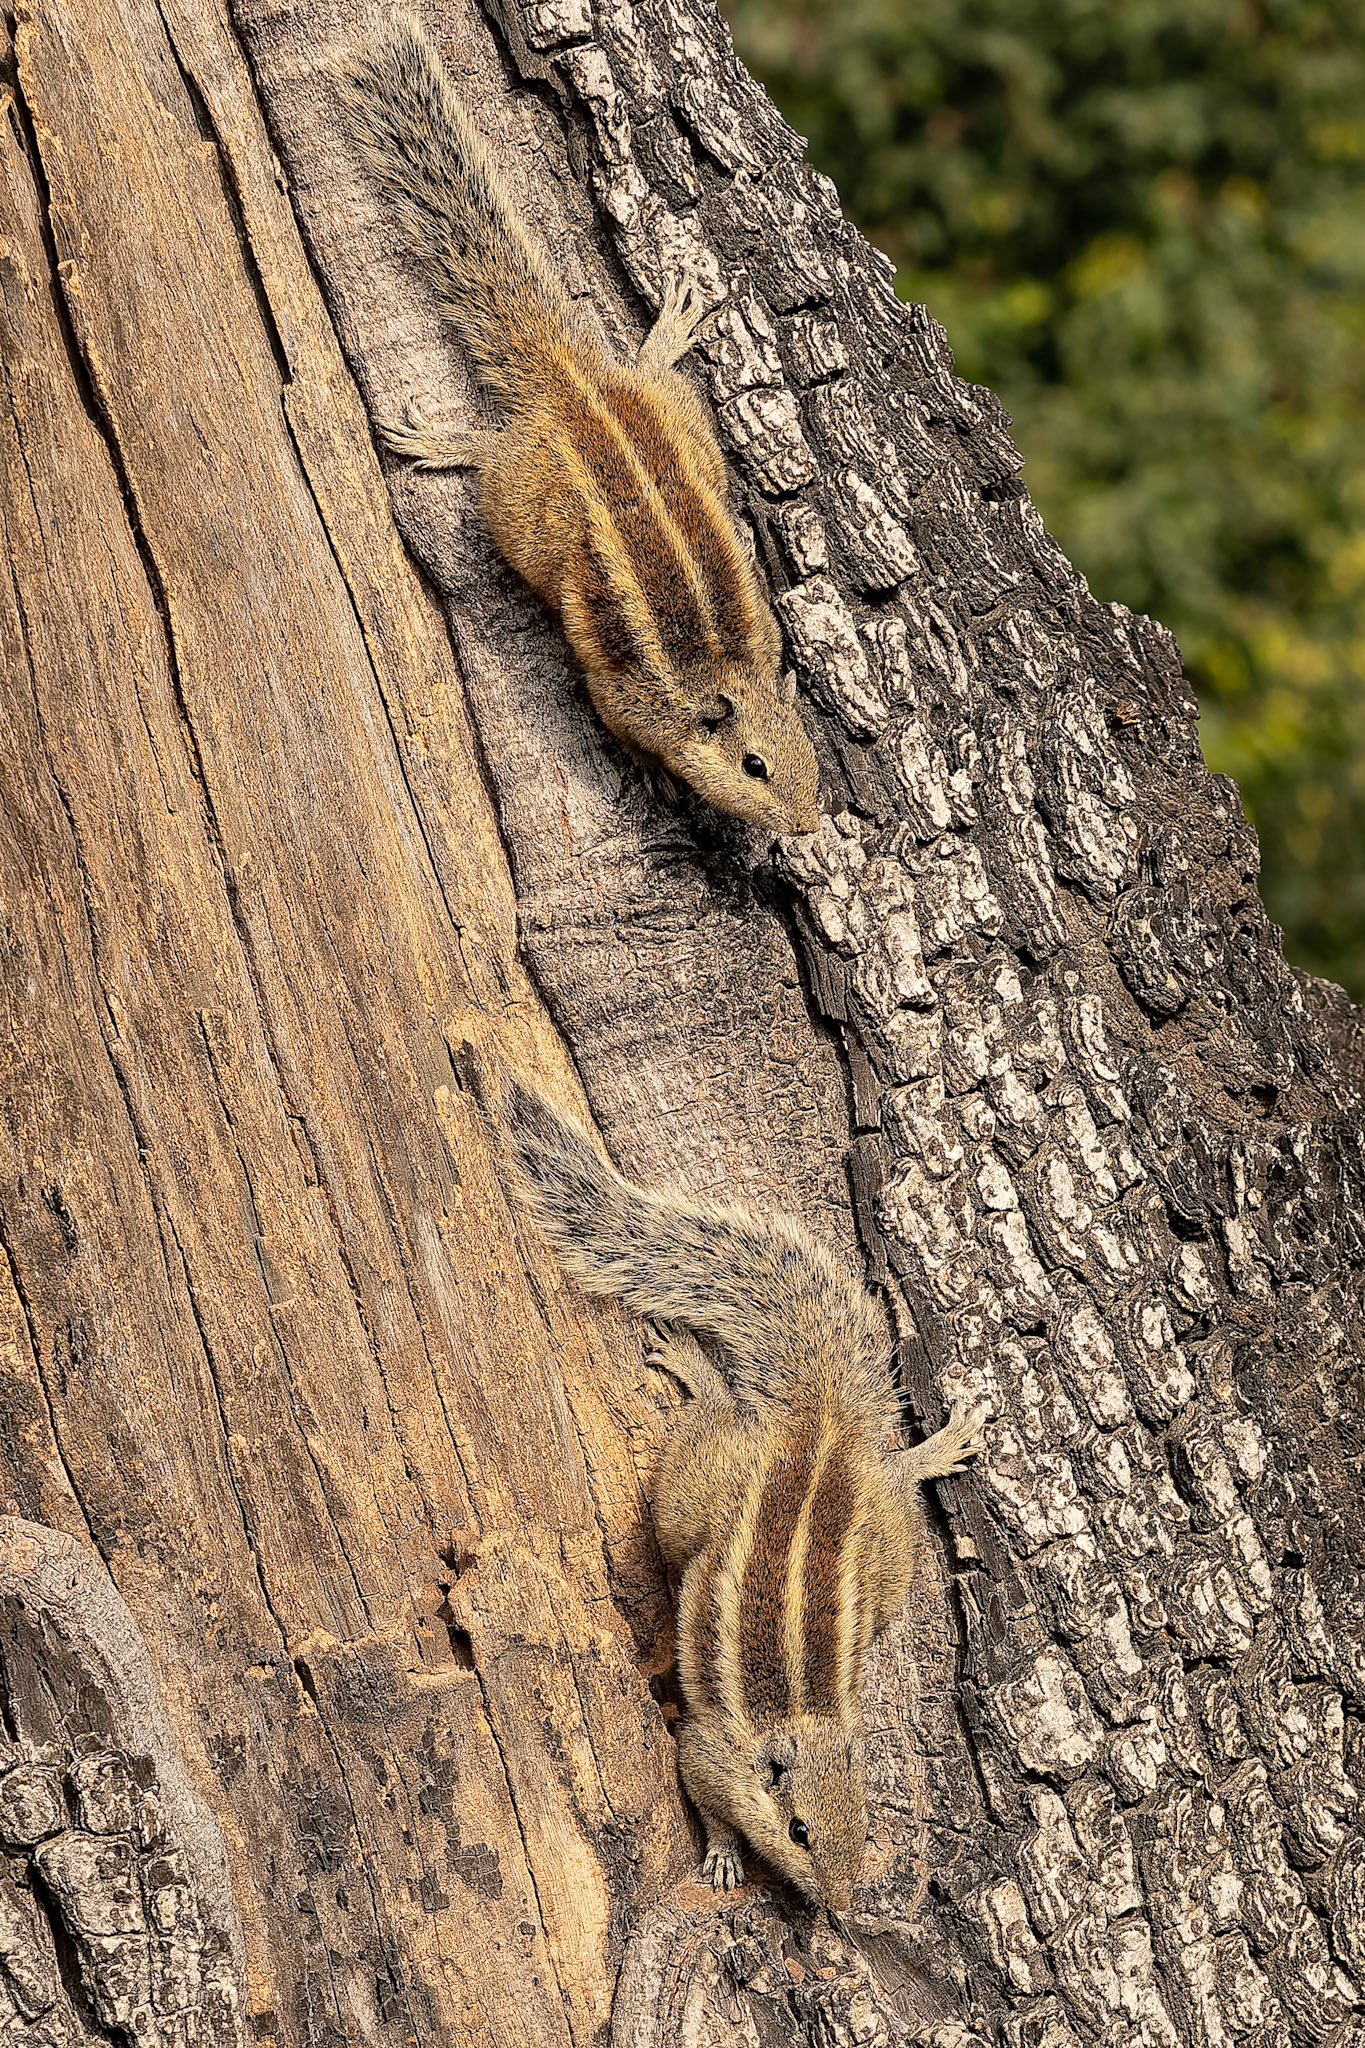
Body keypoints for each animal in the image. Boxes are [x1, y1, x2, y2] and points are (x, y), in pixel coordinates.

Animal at [334, 17, 822, 836]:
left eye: (812, 754)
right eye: (754, 765)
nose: (810, 824)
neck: (711, 676)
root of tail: (574, 396)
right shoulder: (620, 696)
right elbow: (622, 733)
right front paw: (653, 775)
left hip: (675, 414)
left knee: (649, 372)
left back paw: (667, 332)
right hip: (515, 502)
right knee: (493, 451)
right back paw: (446, 442)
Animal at [502, 1082, 987, 1914]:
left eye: (866, 1826)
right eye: (798, 1831)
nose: (837, 1906)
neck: (796, 1722)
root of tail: (816, 1438)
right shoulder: (702, 1753)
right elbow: (707, 1803)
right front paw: (727, 1856)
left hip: (883, 1547)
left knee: (890, 1478)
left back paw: (932, 1449)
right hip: (696, 1497)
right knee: (717, 1432)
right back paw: (700, 1373)